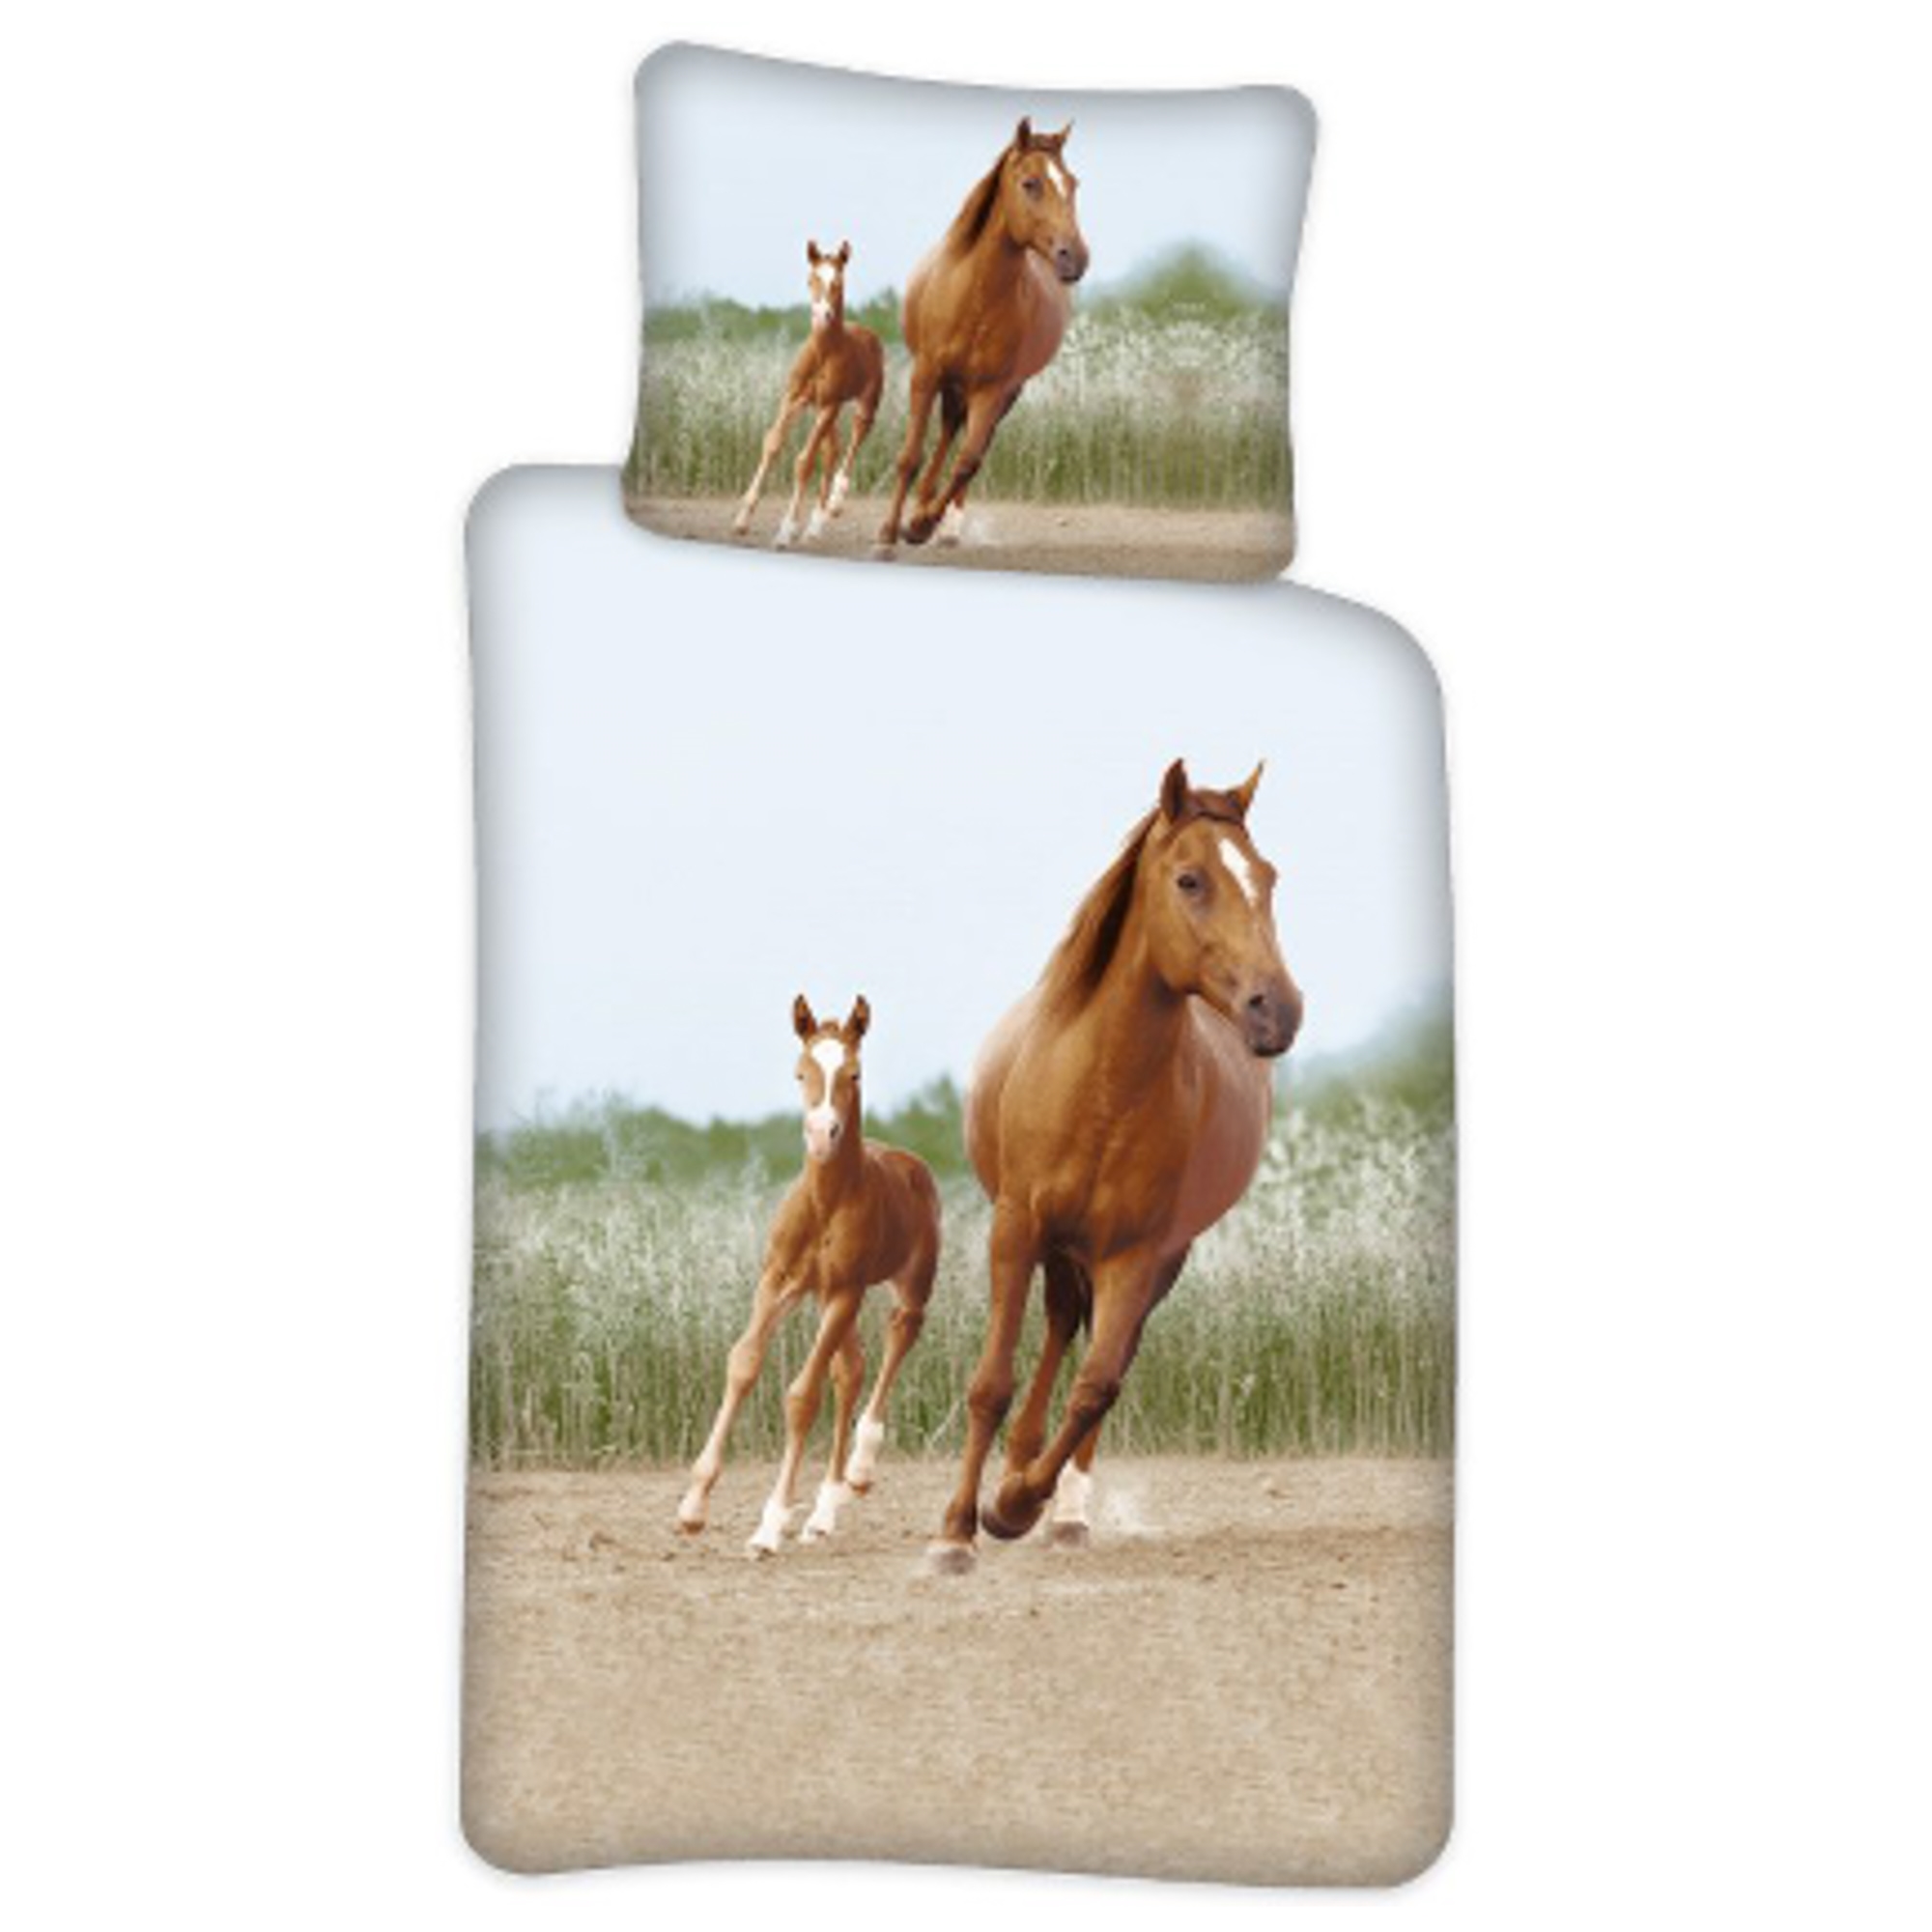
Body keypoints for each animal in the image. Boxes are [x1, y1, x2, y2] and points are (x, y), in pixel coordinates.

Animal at [677, 994, 941, 1557]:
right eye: (800, 1072)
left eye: (854, 1073)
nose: (822, 1134)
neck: (825, 1203)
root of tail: (910, 1163)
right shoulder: (779, 1282)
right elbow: (743, 1363)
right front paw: (693, 1505)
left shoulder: (844, 1290)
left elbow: (802, 1396)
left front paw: (770, 1524)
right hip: (823, 1298)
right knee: (851, 1370)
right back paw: (823, 1512)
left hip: (904, 1286)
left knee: (897, 1338)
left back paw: (859, 1471)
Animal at [732, 240, 886, 550]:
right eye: (811, 279)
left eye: (838, 282)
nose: (823, 316)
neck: (823, 353)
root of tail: (870, 335)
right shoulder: (794, 398)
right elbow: (772, 443)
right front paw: (742, 519)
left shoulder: (829, 405)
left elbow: (804, 462)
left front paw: (786, 531)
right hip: (822, 409)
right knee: (832, 450)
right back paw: (815, 527)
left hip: (862, 405)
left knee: (854, 440)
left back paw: (835, 504)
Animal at [873, 118, 1089, 556]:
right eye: (1030, 183)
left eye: (1072, 184)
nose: (1073, 257)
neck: (974, 296)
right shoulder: (926, 375)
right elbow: (910, 455)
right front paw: (888, 533)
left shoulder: (993, 389)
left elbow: (968, 461)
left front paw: (921, 525)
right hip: (953, 384)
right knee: (946, 433)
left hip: (1000, 392)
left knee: (968, 445)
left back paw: (941, 524)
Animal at [928, 761, 1303, 1574]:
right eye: (1190, 879)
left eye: (1267, 876)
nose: (1277, 1009)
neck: (1100, 1086)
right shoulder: (1016, 1230)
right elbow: (991, 1382)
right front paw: (956, 1530)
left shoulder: (1135, 1253)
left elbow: (1098, 1384)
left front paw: (1016, 1506)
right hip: (1058, 1248)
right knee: (1060, 1325)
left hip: (1148, 1260)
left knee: (1101, 1355)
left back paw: (1058, 1507)